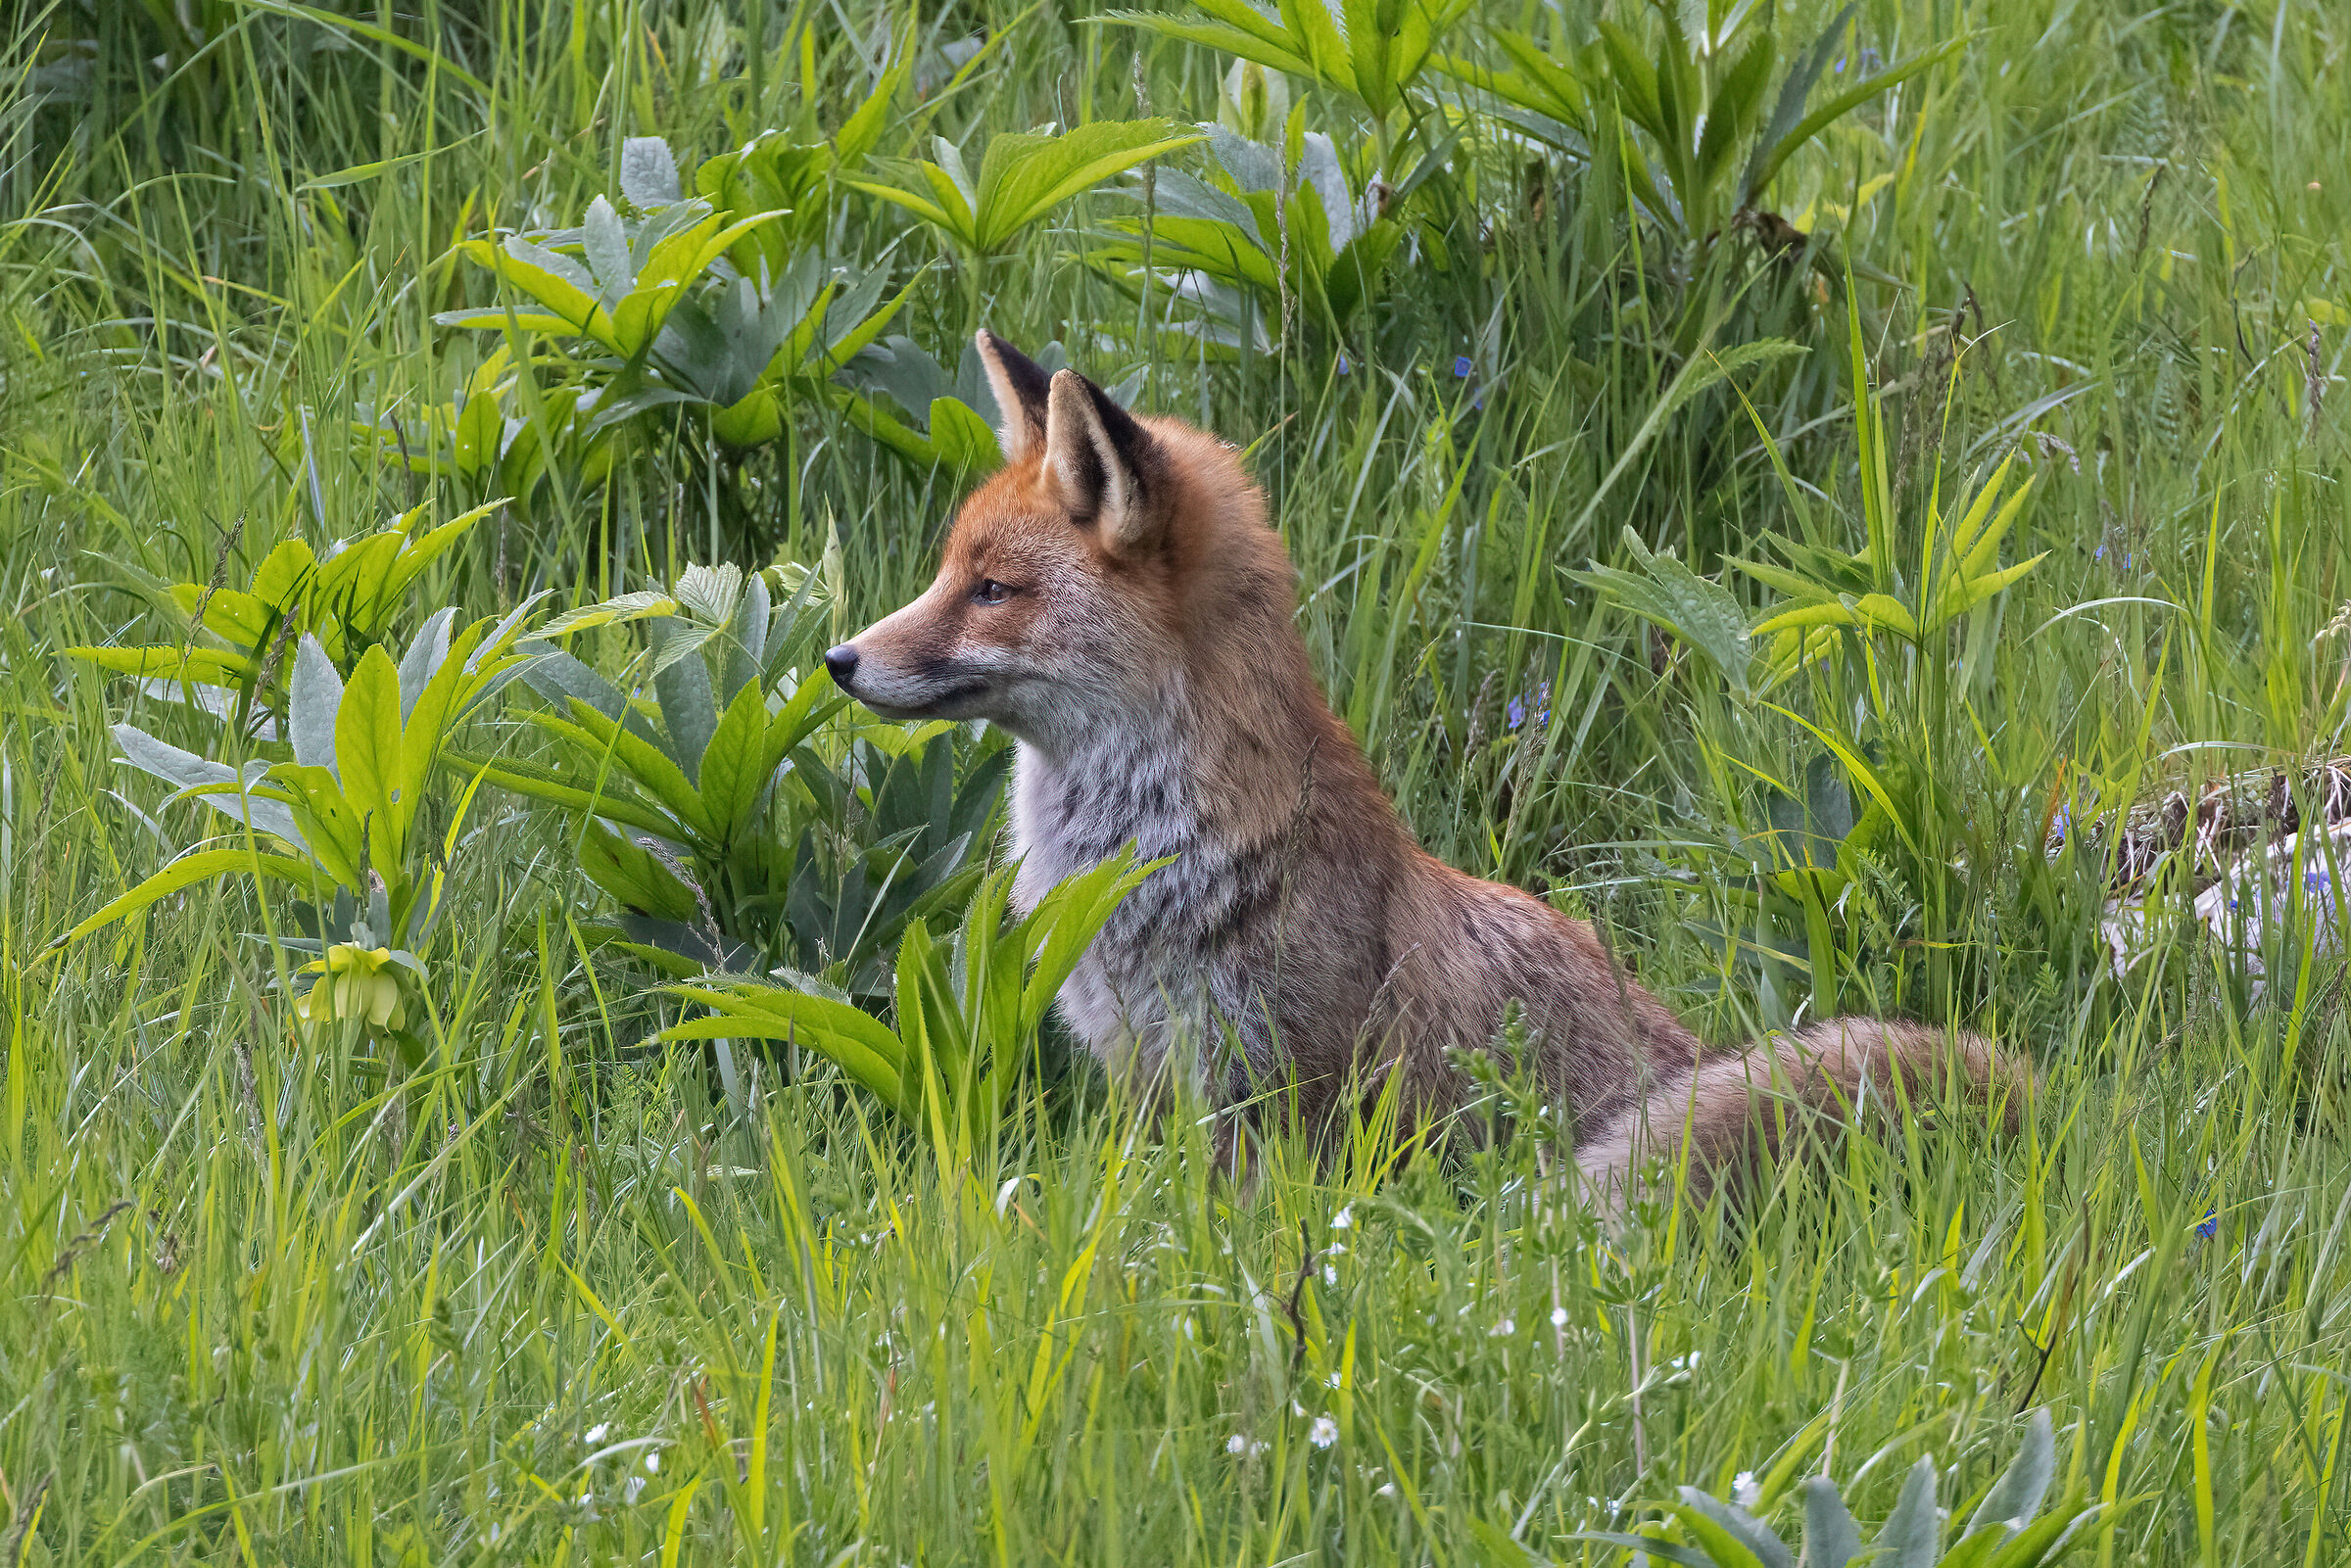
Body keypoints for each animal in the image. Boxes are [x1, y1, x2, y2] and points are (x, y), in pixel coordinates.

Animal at [826, 331, 2025, 1197]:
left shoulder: (1269, 1098)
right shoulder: (1148, 1077)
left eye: (992, 590)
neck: (1156, 858)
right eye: (947, 572)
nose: (838, 660)